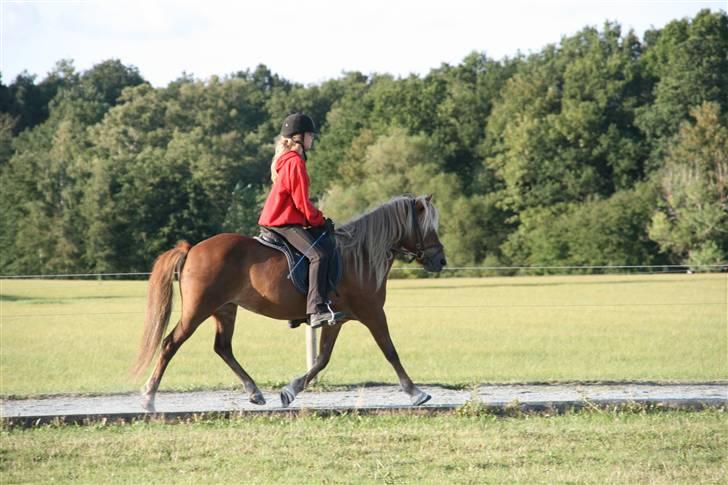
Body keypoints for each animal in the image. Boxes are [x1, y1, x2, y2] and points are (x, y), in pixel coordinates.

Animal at [133, 193, 446, 408]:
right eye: (429, 228)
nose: (441, 260)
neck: (362, 256)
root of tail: (192, 248)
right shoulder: (373, 313)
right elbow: (390, 351)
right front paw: (416, 392)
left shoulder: (337, 319)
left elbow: (322, 359)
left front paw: (289, 390)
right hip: (198, 309)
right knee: (171, 343)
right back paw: (148, 397)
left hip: (225, 309)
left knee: (222, 348)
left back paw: (254, 391)